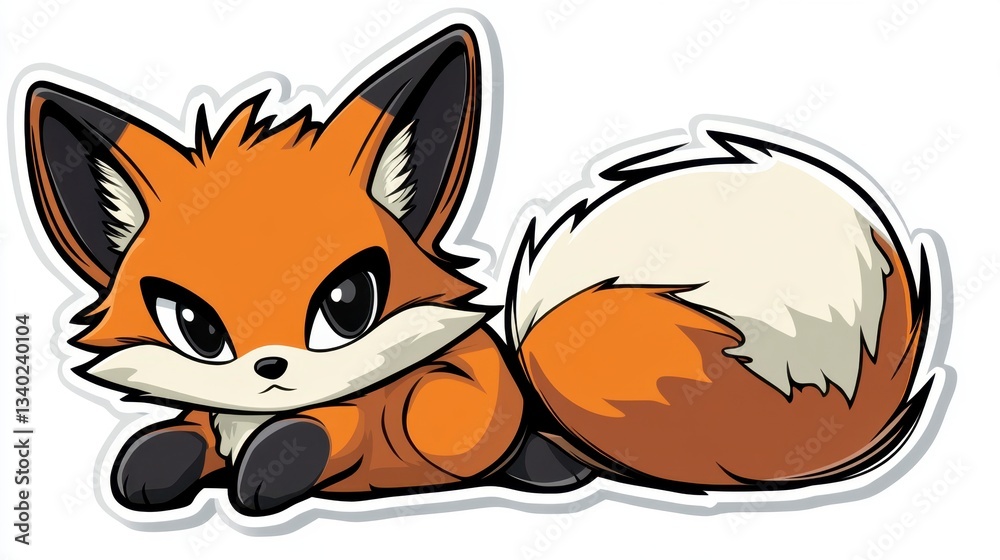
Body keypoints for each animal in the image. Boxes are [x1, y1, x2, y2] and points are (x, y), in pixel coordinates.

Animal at [23, 24, 935, 517]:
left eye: (348, 302)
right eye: (195, 327)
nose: (272, 368)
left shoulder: (431, 401)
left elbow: (361, 431)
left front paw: (279, 460)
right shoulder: (214, 418)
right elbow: (183, 437)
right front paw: (156, 463)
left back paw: (548, 466)